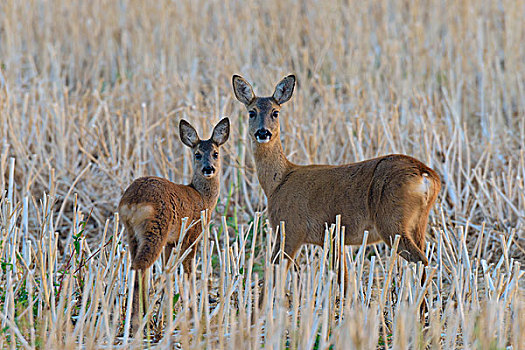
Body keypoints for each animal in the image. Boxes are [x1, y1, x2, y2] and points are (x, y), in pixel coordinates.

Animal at [118, 116, 229, 332]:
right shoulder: (192, 234)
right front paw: (194, 315)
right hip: (156, 229)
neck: (203, 199)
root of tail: (134, 201)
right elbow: (189, 272)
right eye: (197, 154)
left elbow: (168, 272)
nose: (208, 168)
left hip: (132, 233)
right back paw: (138, 321)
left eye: (215, 153)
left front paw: (166, 313)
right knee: (141, 266)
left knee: (137, 266)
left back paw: (143, 317)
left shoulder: (171, 242)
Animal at [231, 74, 440, 282]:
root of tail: (425, 174)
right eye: (251, 112)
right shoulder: (332, 237)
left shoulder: (290, 228)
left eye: (275, 112)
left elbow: (275, 274)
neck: (277, 183)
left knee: (422, 260)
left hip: (391, 220)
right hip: (419, 222)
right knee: (426, 260)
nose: (263, 132)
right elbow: (344, 278)